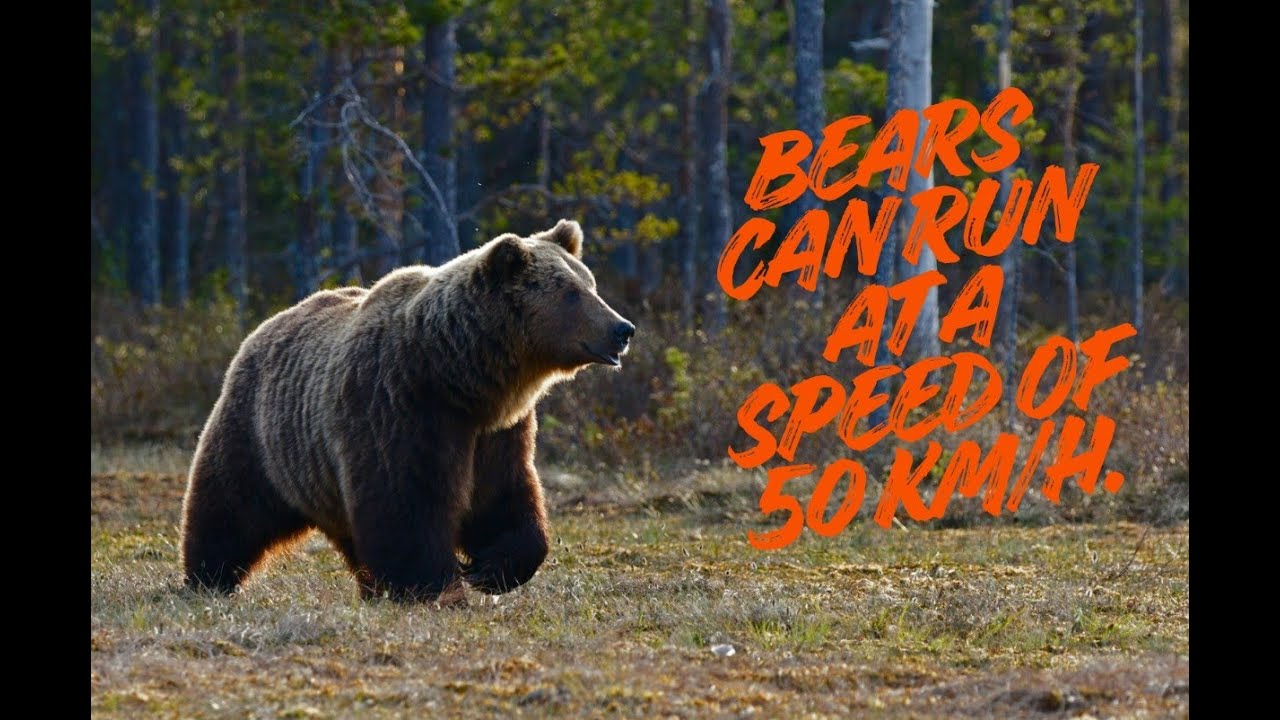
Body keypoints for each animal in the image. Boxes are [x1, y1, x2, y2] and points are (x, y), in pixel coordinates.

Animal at [179, 219, 634, 602]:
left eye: (590, 284)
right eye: (571, 293)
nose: (623, 328)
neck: (459, 377)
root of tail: (265, 326)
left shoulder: (497, 432)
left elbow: (504, 496)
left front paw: (490, 568)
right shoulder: (399, 407)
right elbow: (406, 502)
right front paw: (434, 585)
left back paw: (369, 587)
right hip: (261, 433)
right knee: (229, 505)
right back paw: (207, 578)